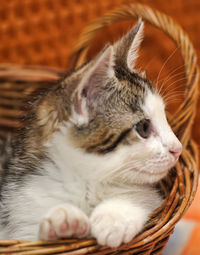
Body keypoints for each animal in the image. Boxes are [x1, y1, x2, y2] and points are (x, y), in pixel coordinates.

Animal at [0, 20, 182, 248]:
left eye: (164, 117)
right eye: (143, 128)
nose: (178, 149)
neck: (87, 183)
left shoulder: (153, 199)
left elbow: (141, 199)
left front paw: (113, 218)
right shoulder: (23, 218)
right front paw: (64, 220)